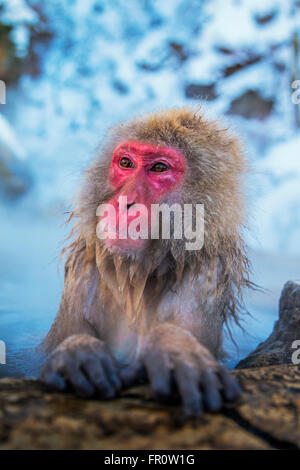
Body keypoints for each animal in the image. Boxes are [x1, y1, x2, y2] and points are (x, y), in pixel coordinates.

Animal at [40, 109, 251, 414]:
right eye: (126, 163)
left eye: (159, 168)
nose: (124, 201)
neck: (140, 272)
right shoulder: (84, 263)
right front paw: (76, 349)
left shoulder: (209, 269)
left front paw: (175, 347)